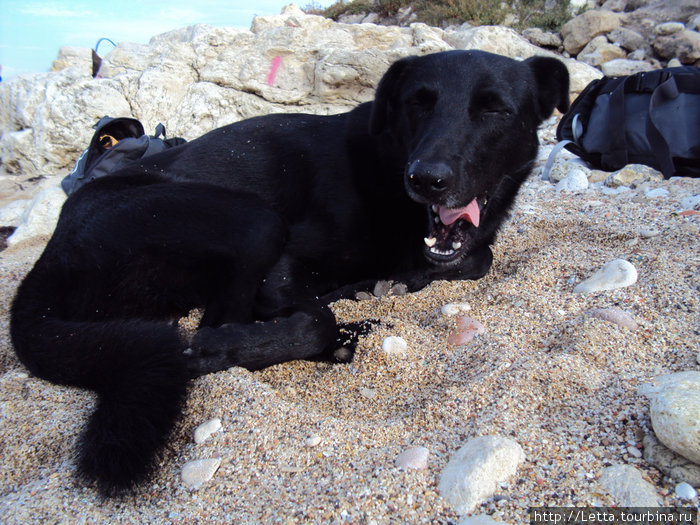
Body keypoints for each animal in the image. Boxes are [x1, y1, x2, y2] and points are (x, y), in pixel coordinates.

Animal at [9, 50, 568, 496]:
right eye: (419, 103)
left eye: (494, 109)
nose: (426, 179)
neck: (387, 168)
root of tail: (50, 256)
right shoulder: (282, 265)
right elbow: (315, 317)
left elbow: (475, 259)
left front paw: (378, 285)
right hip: (254, 220)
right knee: (221, 324)